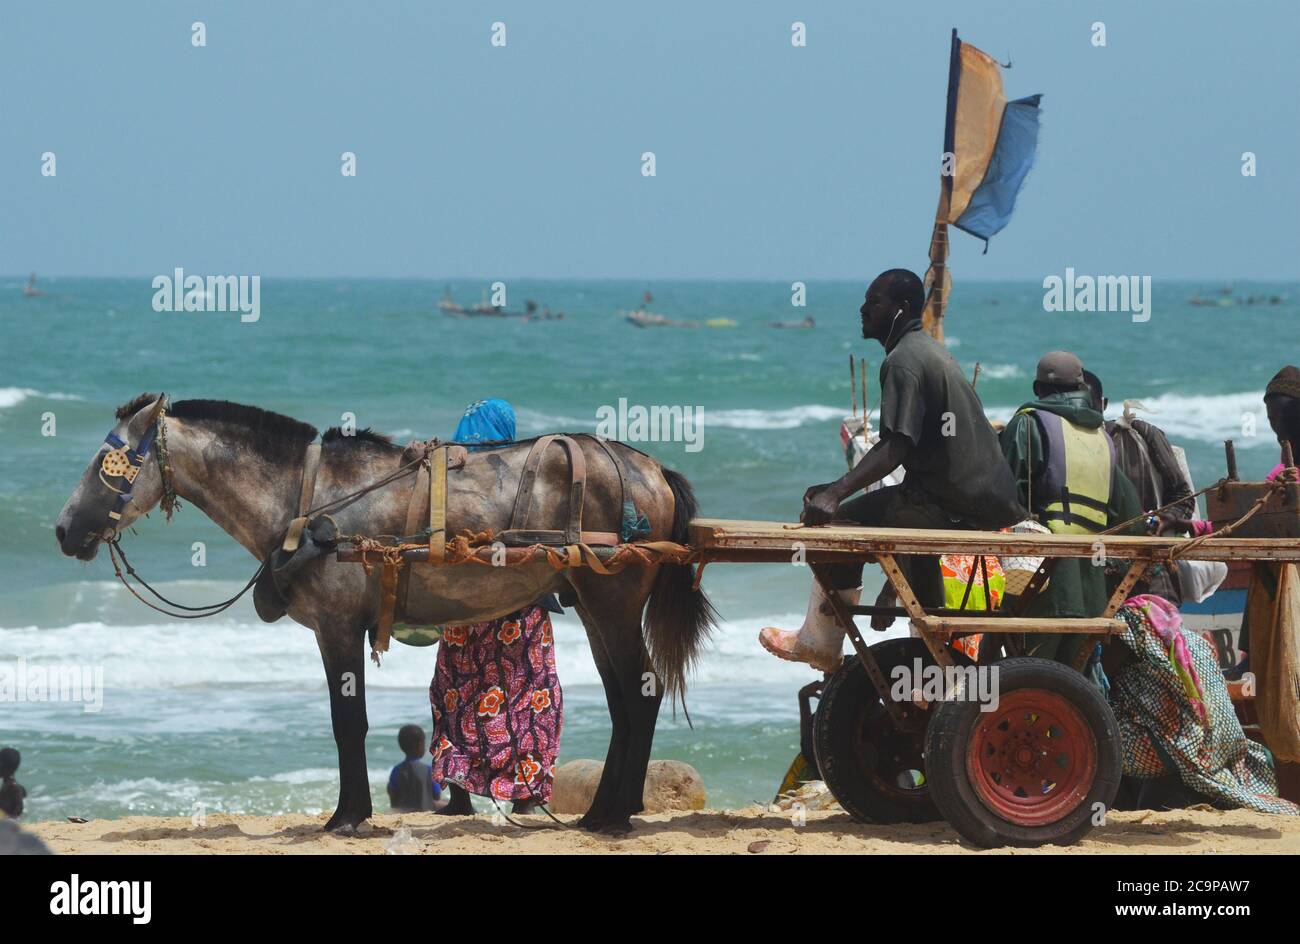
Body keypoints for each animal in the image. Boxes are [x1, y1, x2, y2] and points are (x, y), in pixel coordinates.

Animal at [53, 392, 722, 837]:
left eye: (110, 462)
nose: (63, 530)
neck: (307, 503)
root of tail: (651, 469)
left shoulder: (338, 626)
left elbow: (347, 722)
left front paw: (348, 817)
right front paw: (349, 811)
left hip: (613, 601)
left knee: (640, 693)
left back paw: (615, 817)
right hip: (592, 603)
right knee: (625, 700)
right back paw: (604, 810)